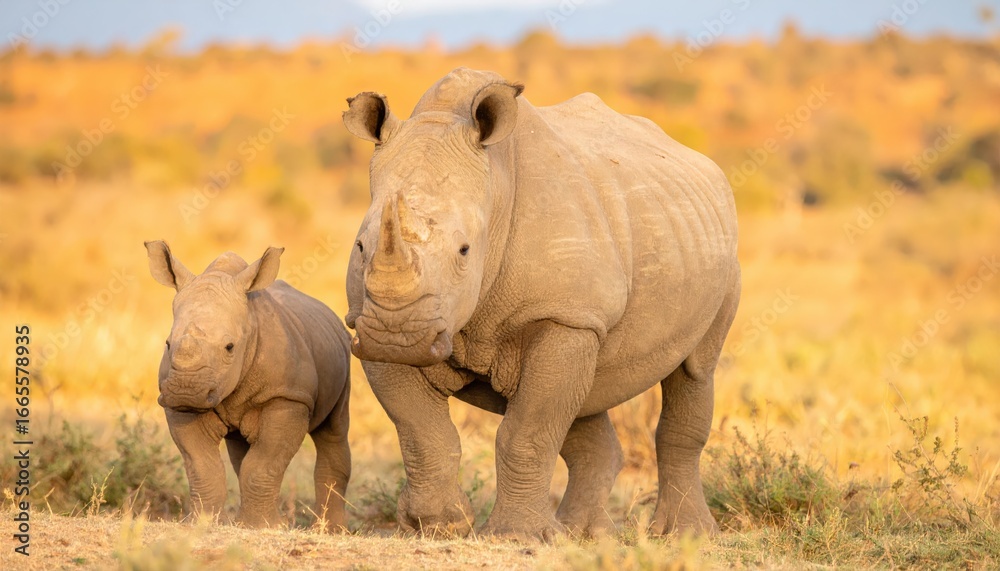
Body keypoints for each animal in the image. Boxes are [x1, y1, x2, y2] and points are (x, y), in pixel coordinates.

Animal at [145, 241, 352, 530]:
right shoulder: (178, 406)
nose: (185, 392)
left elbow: (264, 463)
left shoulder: (287, 397)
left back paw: (330, 530)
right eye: (167, 344)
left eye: (230, 347)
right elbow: (202, 465)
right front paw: (203, 523)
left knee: (333, 431)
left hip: (342, 352)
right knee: (240, 452)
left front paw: (262, 526)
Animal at [342, 68, 740, 540]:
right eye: (361, 247)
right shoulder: (368, 319)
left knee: (695, 368)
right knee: (587, 396)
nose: (398, 336)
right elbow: (421, 430)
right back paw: (582, 534)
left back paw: (684, 535)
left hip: (719, 257)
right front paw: (439, 524)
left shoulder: (563, 315)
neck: (495, 187)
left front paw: (515, 536)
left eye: (464, 251)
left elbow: (526, 432)